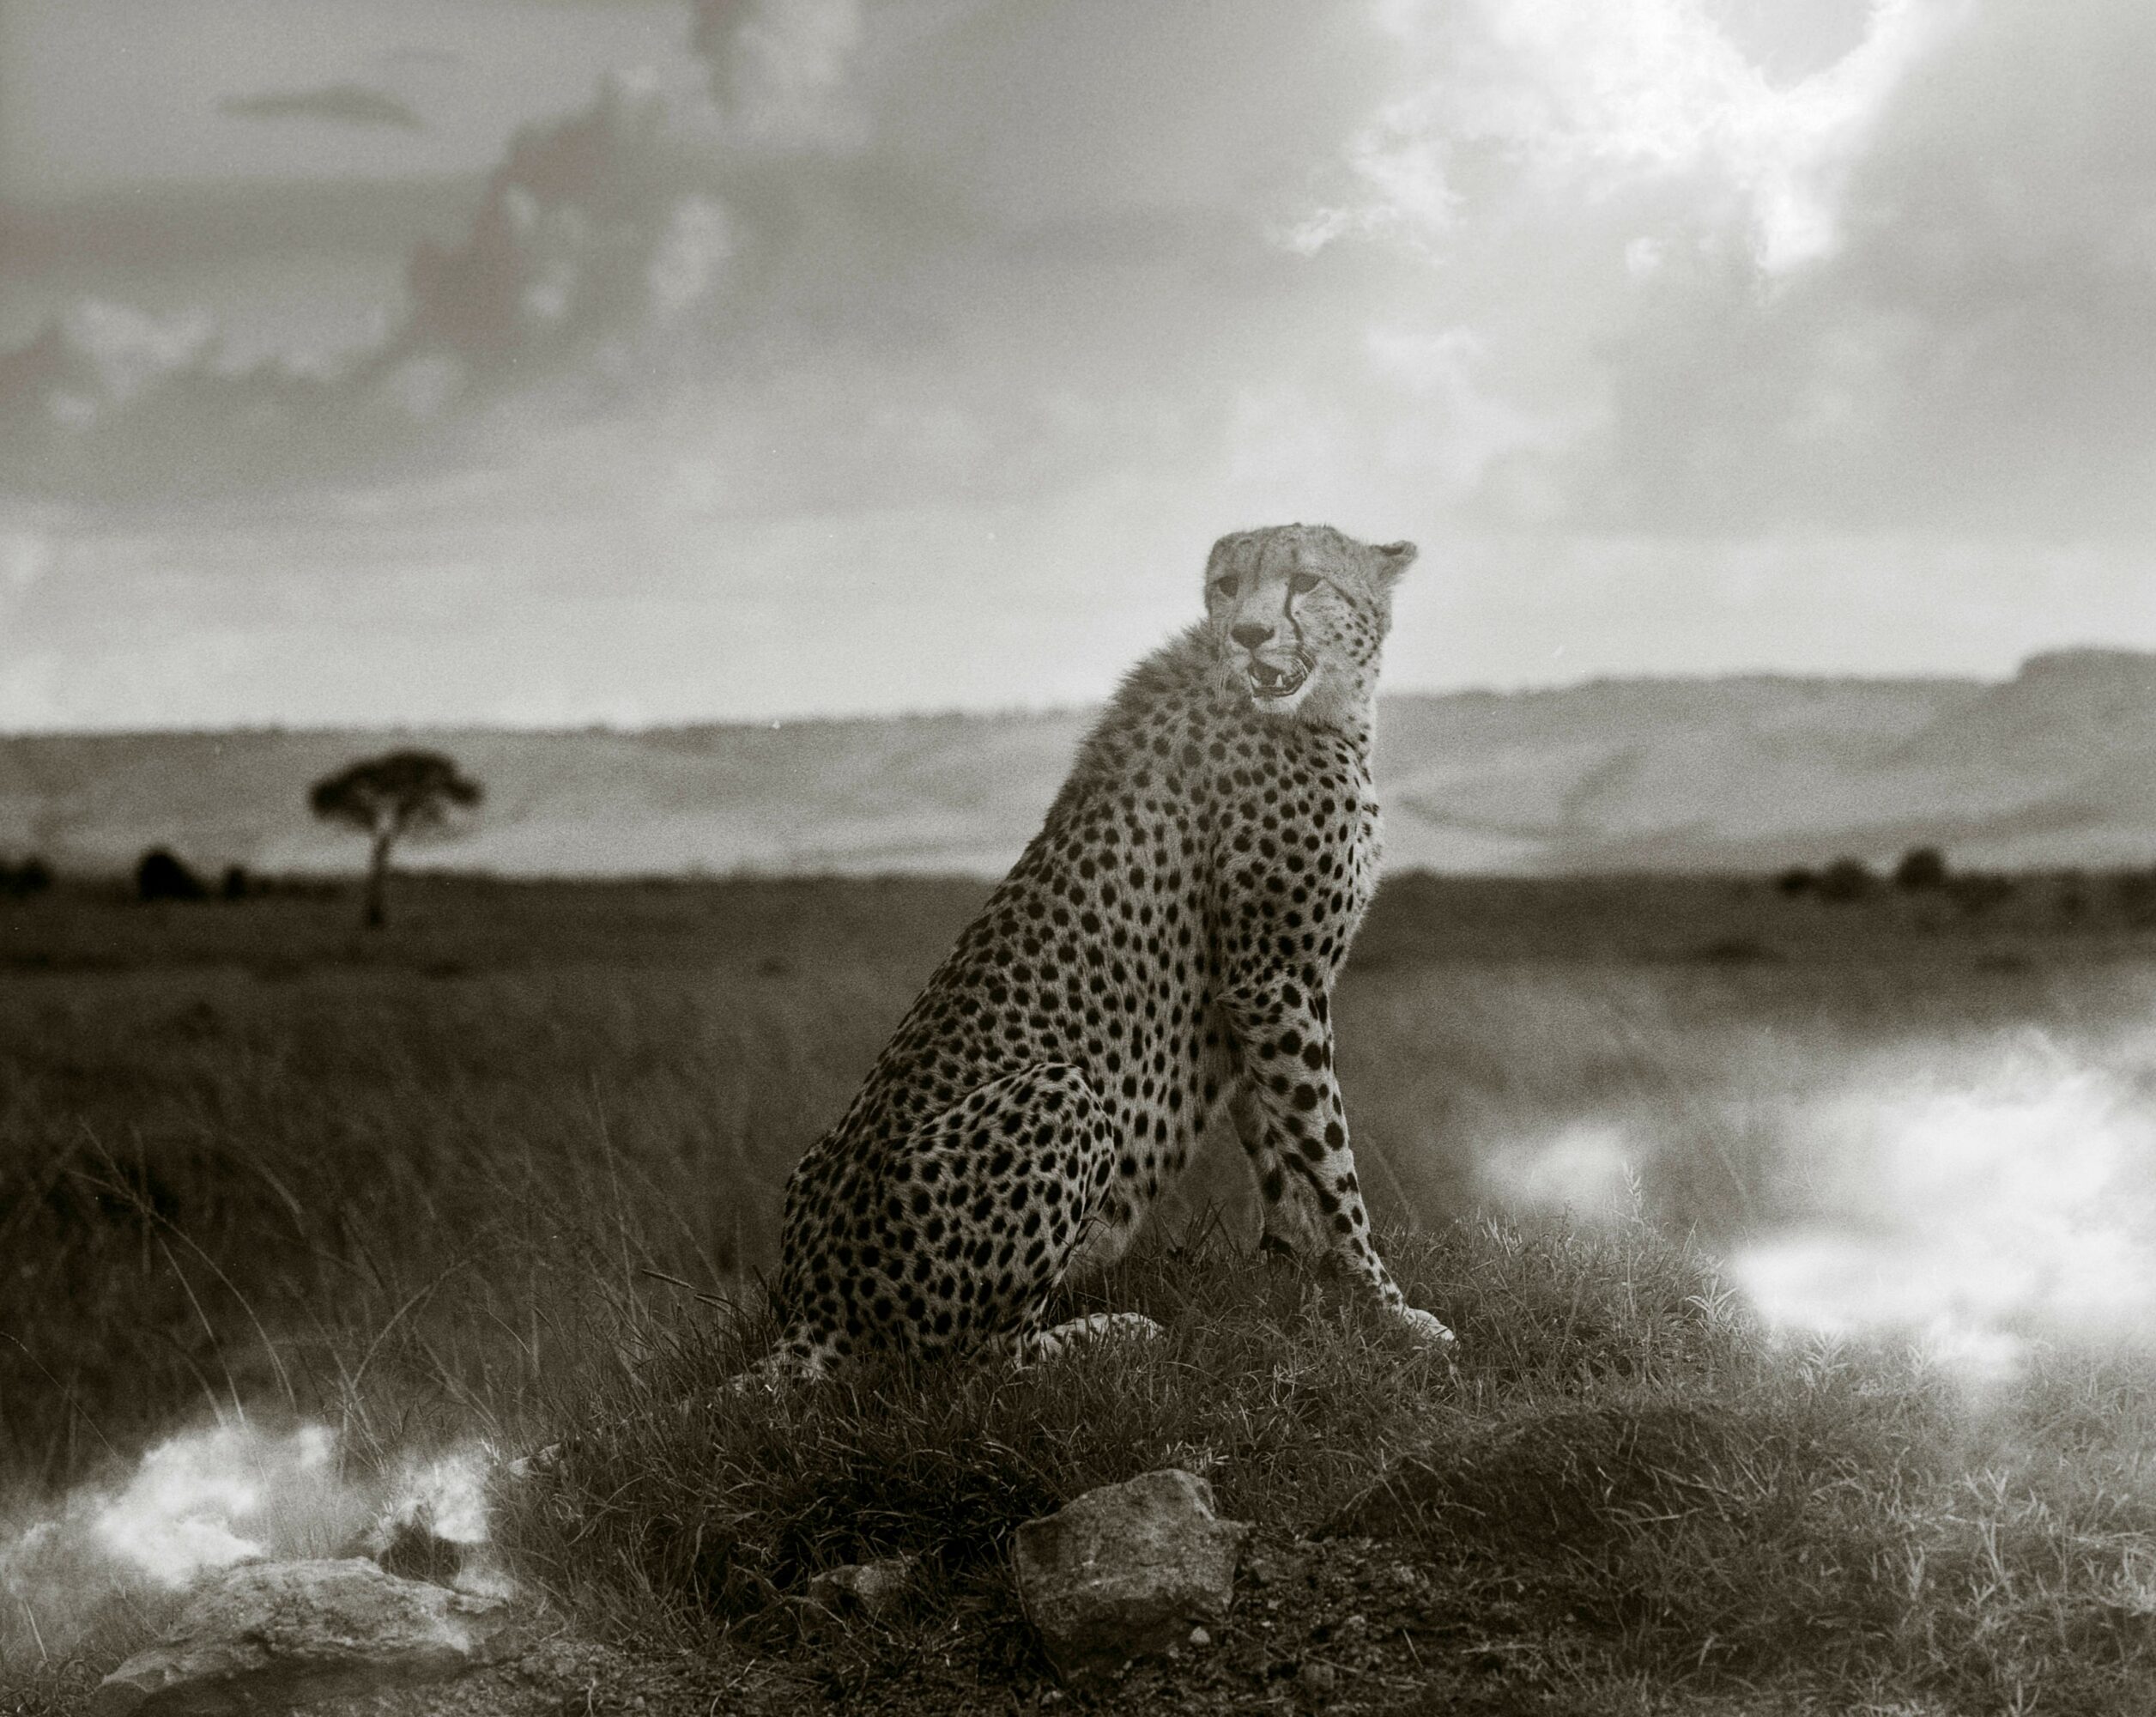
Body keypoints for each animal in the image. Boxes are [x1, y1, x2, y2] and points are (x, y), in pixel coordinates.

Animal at [765, 521, 1455, 1377]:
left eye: (1304, 581)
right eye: (1227, 586)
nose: (1248, 633)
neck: (1315, 710)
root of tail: (810, 1304)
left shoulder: (1253, 996)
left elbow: (1278, 1146)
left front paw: (1296, 1273)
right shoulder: (1274, 981)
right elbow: (1330, 1157)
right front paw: (1390, 1309)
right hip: (1062, 1094)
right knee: (982, 1361)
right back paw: (1112, 1335)